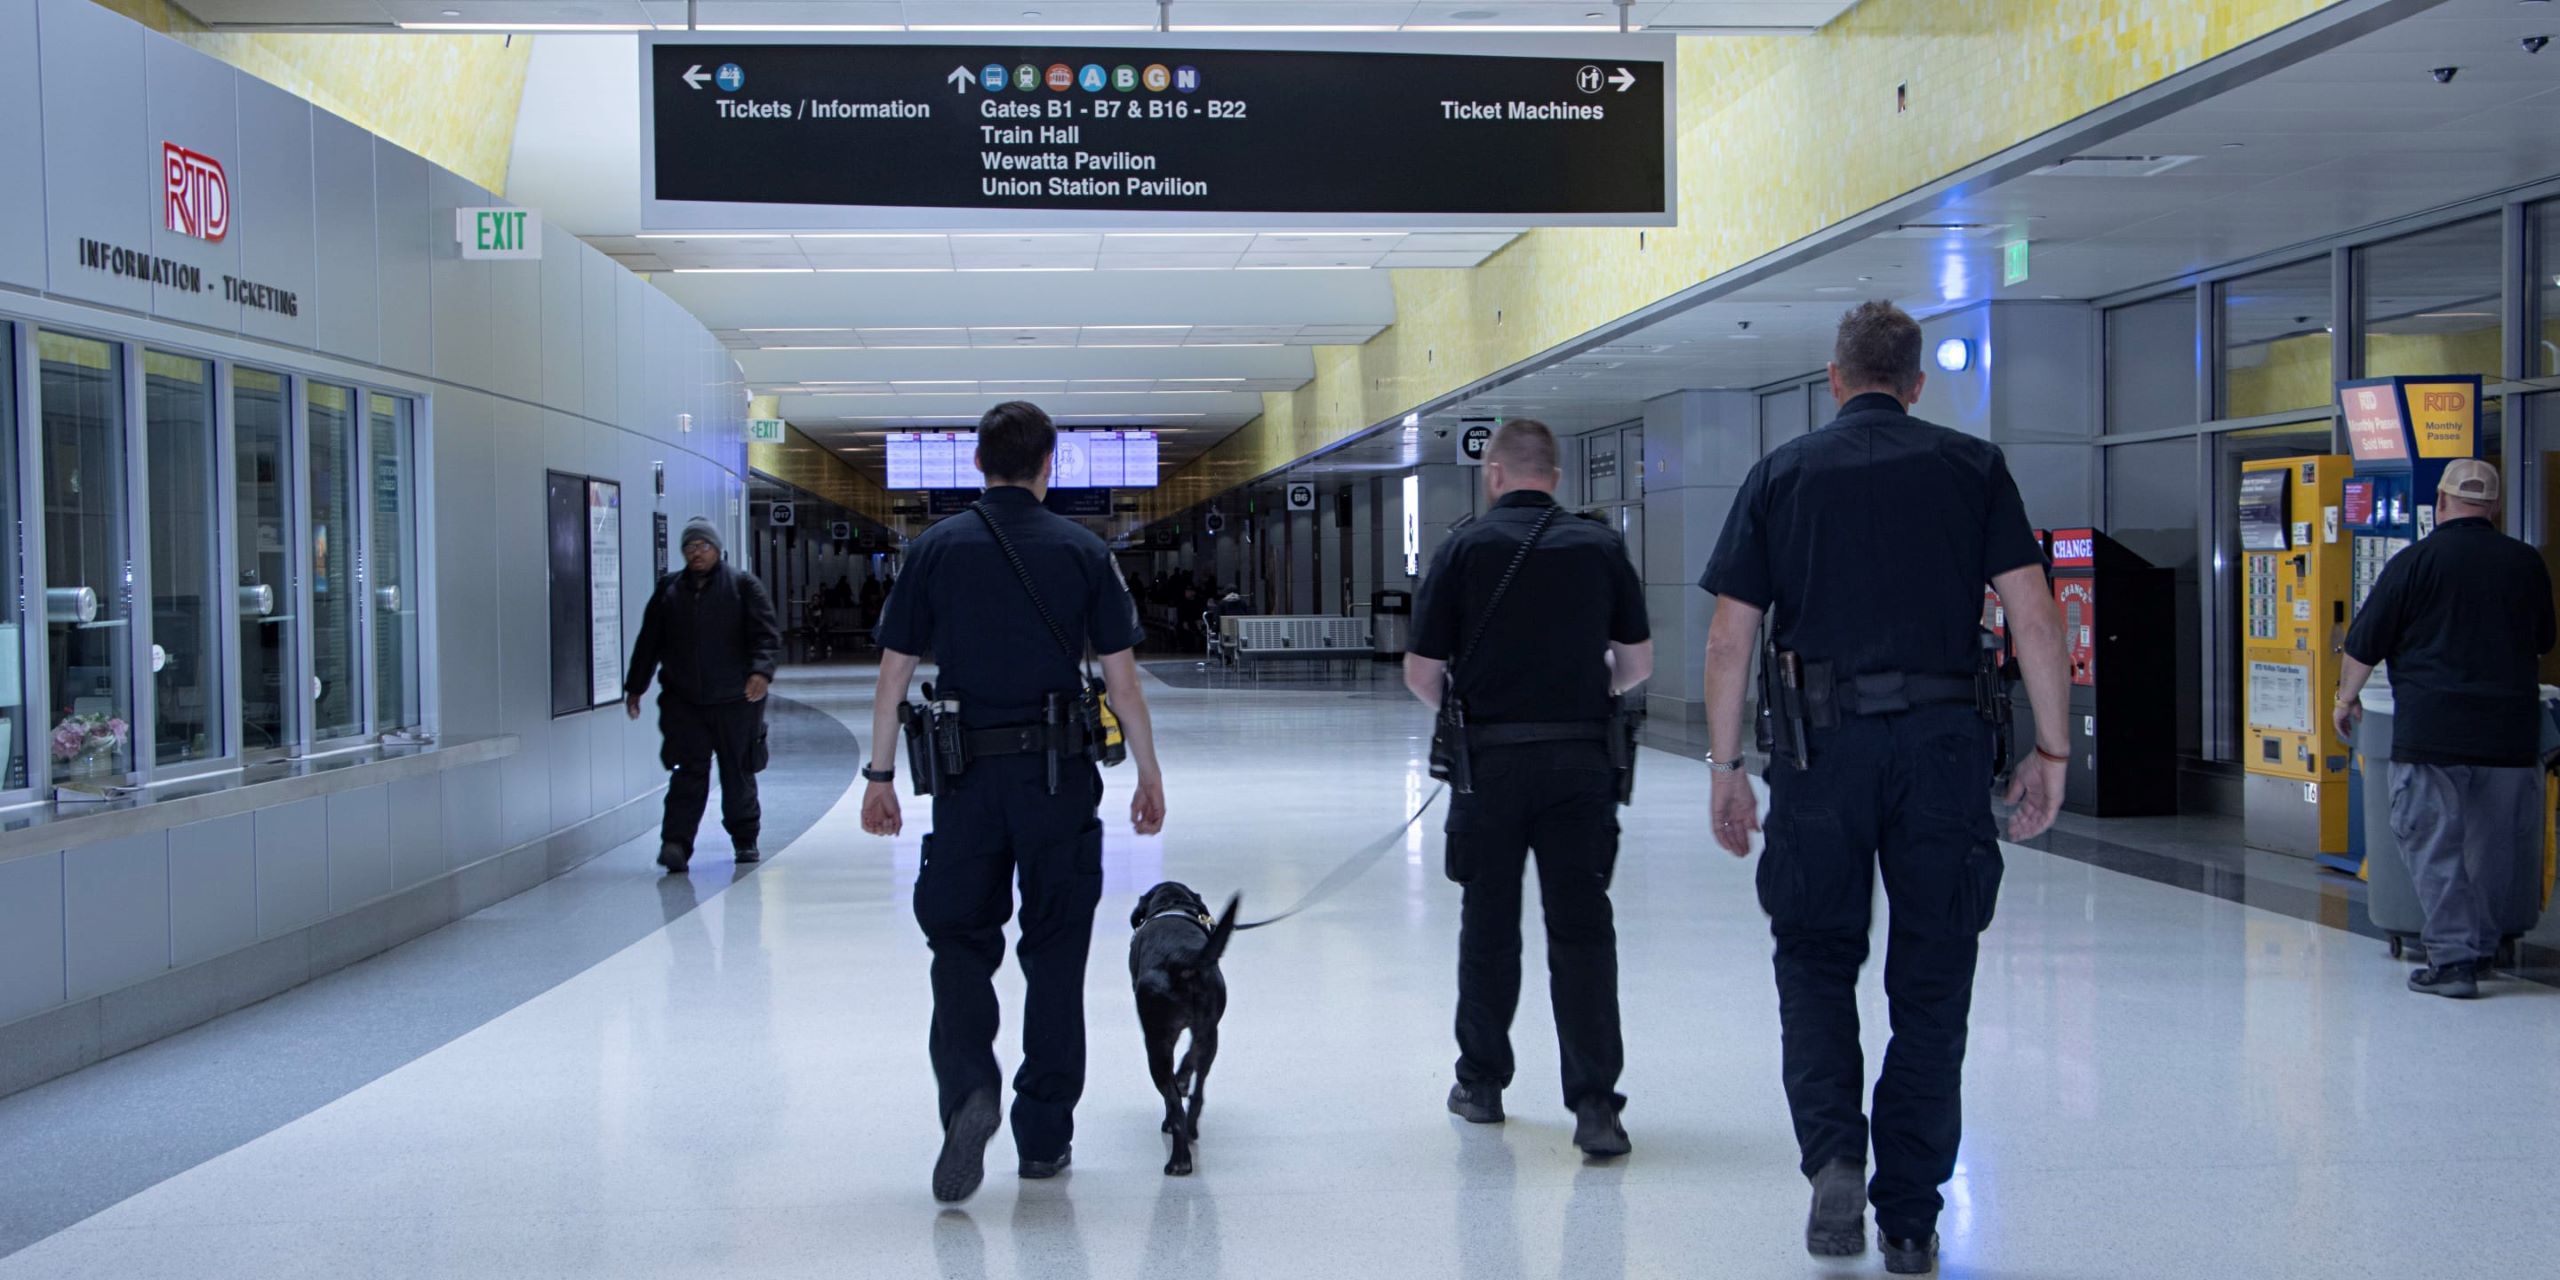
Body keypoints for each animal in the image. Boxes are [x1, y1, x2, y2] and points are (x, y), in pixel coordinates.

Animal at [1131, 885, 1239, 1172]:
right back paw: (1191, 1131)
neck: (1173, 905)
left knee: (1173, 1103)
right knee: (1198, 1093)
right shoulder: (1205, 1028)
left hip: (1156, 1046)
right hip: (1209, 1032)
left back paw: (1179, 1159)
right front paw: (1182, 1078)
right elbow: (1189, 1057)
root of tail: (1181, 959)